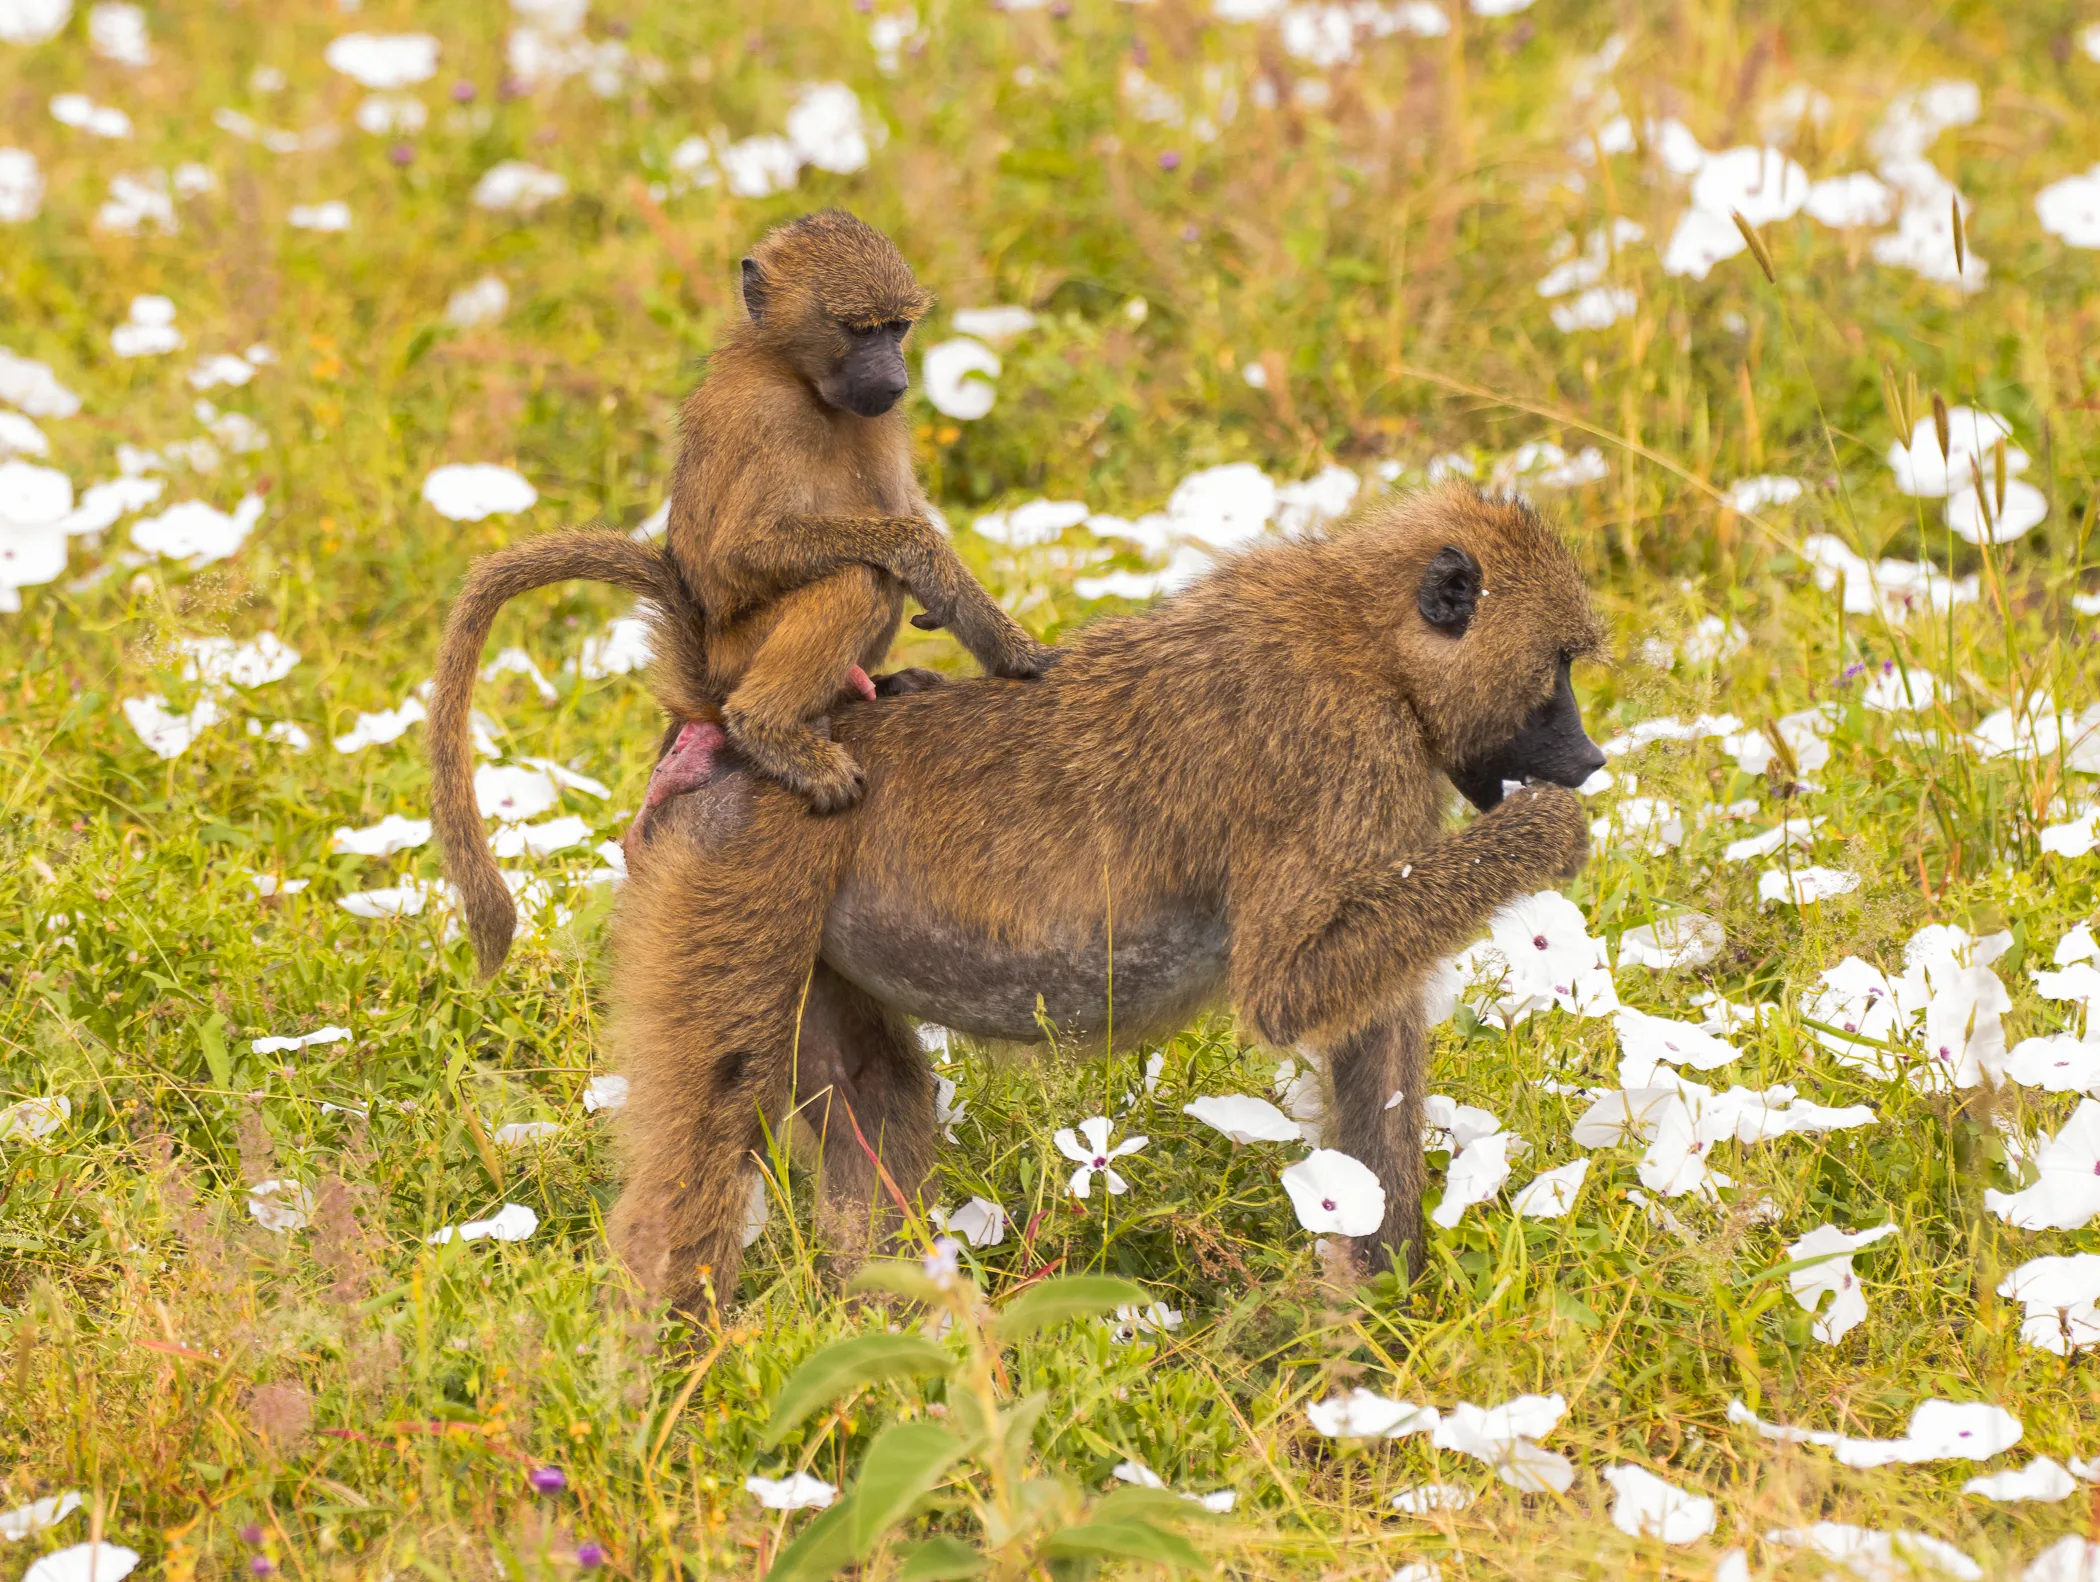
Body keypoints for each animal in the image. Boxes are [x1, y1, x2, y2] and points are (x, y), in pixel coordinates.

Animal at [426, 211, 1055, 976]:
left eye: (896, 328)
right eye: (857, 329)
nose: (896, 378)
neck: (798, 378)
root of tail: (704, 673)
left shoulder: (880, 420)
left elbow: (905, 507)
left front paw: (999, 638)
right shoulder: (759, 416)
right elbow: (744, 554)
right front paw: (929, 562)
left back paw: (875, 688)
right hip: (740, 653)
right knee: (857, 577)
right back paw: (771, 730)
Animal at [598, 485, 1609, 1313]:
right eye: (1559, 666)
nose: (1592, 758)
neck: (1371, 640)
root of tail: (718, 724)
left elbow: (1372, 1040)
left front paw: (1375, 1308)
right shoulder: (1344, 753)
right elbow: (1289, 990)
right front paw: (1549, 831)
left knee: (870, 1097)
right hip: (742, 863)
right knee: (710, 1122)